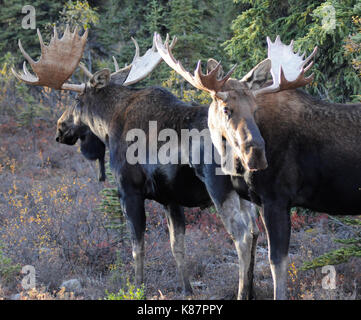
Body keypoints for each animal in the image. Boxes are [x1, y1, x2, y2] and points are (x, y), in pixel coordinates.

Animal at [155, 33, 361, 298]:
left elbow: (277, 263)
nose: (257, 155)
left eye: (255, 109)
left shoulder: (277, 199)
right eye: (226, 109)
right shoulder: (261, 202)